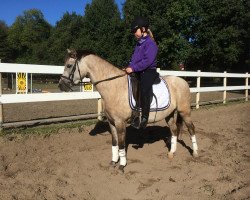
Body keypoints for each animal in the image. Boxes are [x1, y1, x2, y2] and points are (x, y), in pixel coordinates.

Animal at [59, 48, 199, 172]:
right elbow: (114, 143)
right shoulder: (112, 122)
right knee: (174, 130)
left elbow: (121, 144)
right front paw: (113, 162)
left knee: (191, 128)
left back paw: (195, 153)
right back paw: (171, 153)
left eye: (69, 65)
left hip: (185, 111)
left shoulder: (120, 123)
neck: (113, 87)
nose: (61, 85)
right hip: (169, 114)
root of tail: (183, 81)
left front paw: (122, 165)